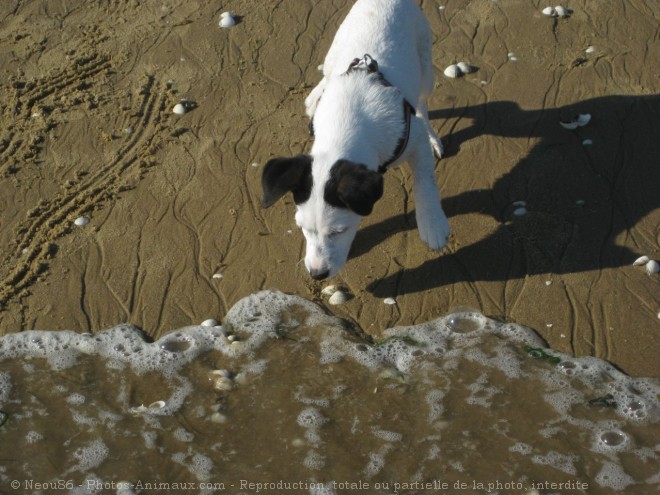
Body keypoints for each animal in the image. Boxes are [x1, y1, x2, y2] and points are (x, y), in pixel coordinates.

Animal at [260, 0, 452, 280]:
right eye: (303, 228)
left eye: (339, 231)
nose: (317, 274)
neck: (347, 122)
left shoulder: (413, 140)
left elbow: (425, 183)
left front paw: (433, 223)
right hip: (335, 50)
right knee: (327, 72)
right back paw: (315, 94)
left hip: (426, 68)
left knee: (422, 103)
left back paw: (432, 135)